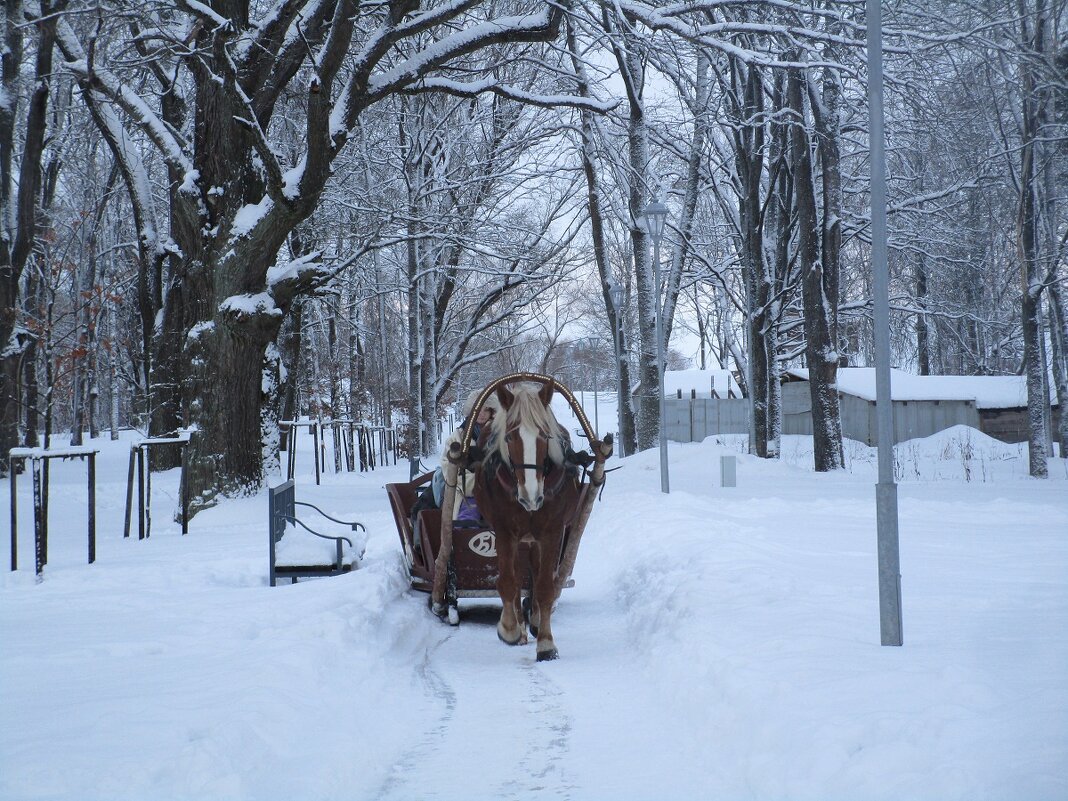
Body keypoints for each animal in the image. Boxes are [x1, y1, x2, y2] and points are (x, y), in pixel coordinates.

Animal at [472, 382, 580, 666]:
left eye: (544, 436)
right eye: (510, 437)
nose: (531, 496)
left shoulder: (552, 532)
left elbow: (544, 587)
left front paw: (546, 643)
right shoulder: (504, 531)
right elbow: (509, 582)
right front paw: (509, 629)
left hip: (534, 539)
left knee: (534, 574)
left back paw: (535, 620)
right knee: (517, 577)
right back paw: (520, 627)